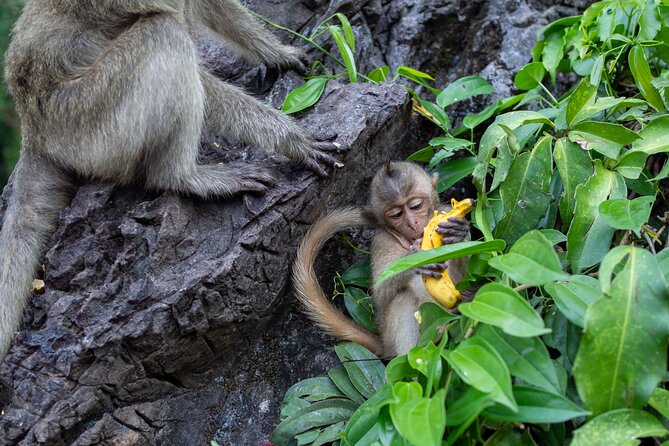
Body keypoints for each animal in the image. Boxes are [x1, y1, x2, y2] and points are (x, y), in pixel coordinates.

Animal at [1, 0, 340, 360]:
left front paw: (279, 52)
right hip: (87, 123)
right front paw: (291, 139)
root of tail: (33, 126)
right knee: (163, 32)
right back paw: (184, 176)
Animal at [290, 162, 470, 358]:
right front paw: (415, 259)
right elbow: (380, 294)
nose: (412, 223)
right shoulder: (382, 242)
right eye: (397, 214)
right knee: (402, 298)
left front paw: (458, 233)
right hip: (391, 336)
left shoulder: (446, 210)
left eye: (416, 206)